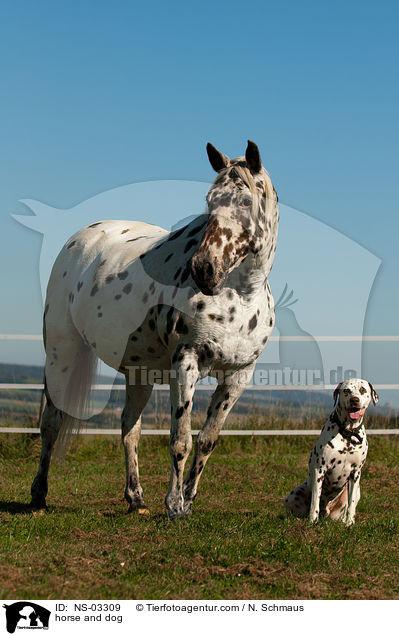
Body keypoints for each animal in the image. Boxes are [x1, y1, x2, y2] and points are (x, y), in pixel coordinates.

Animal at [31, 139, 280, 516]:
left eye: (246, 201)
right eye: (210, 201)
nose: (203, 269)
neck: (240, 294)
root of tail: (80, 240)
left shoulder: (239, 375)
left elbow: (207, 441)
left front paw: (188, 499)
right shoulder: (185, 364)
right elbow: (180, 440)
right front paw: (175, 505)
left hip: (139, 372)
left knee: (128, 428)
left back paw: (136, 499)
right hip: (61, 353)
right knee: (51, 424)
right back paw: (39, 495)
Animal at [284, 378, 378, 528]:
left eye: (362, 390)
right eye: (346, 391)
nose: (354, 400)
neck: (347, 433)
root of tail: (327, 512)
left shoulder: (356, 473)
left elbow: (351, 504)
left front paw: (350, 523)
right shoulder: (319, 470)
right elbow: (315, 501)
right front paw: (312, 521)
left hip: (356, 492)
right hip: (294, 495)